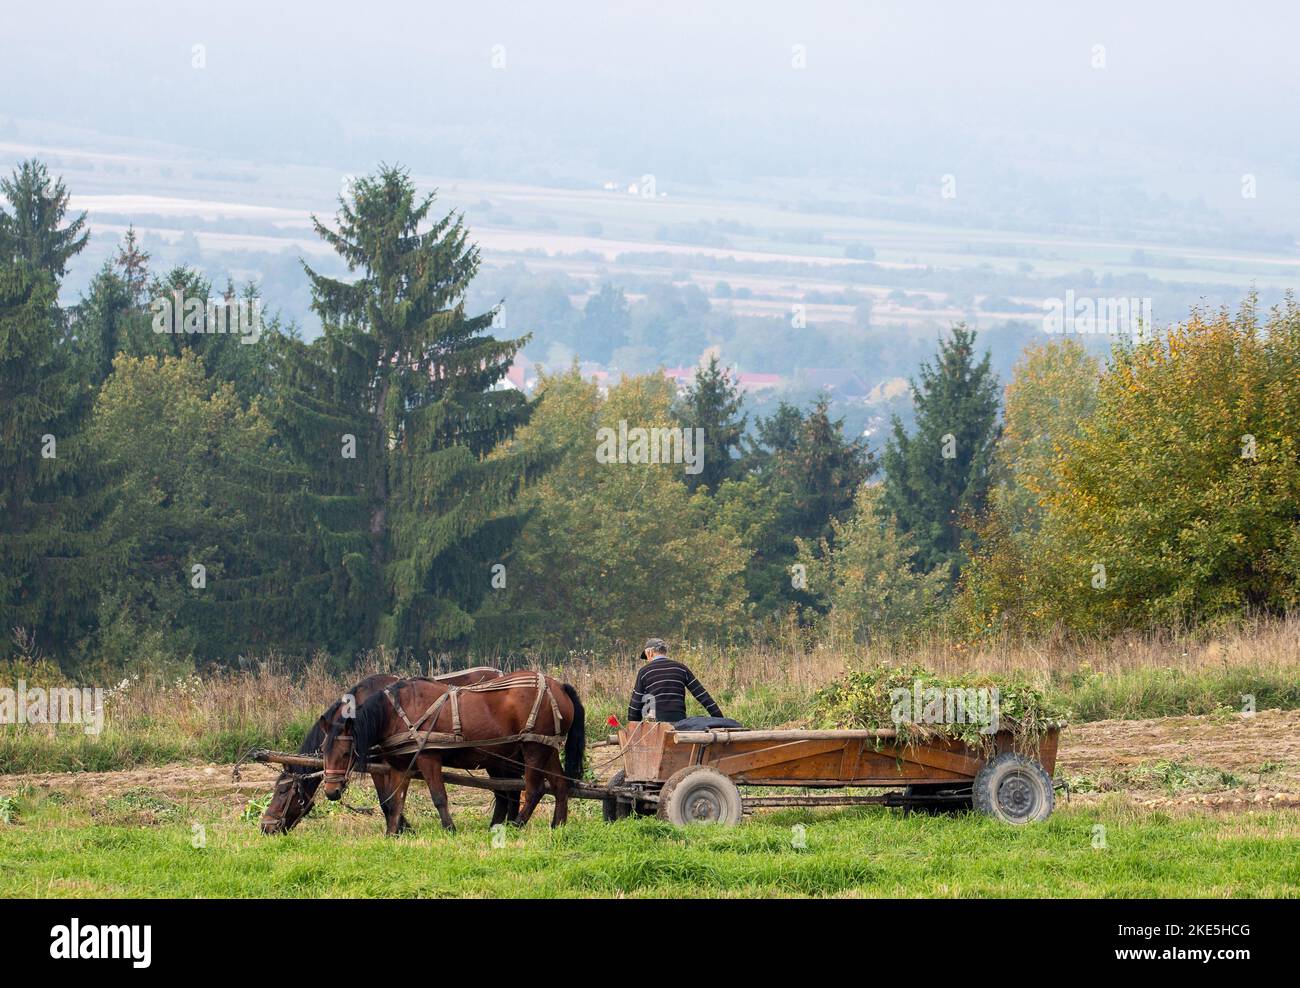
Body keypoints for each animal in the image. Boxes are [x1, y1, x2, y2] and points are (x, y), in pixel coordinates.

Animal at [319, 670, 585, 832]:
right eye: (323, 752)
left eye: (346, 752)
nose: (331, 792)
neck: (396, 712)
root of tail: (559, 686)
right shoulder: (399, 766)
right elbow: (394, 802)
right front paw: (392, 833)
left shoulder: (428, 758)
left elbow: (438, 797)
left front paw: (449, 828)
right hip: (547, 748)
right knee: (560, 785)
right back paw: (558, 825)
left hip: (533, 749)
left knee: (534, 789)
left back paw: (516, 824)